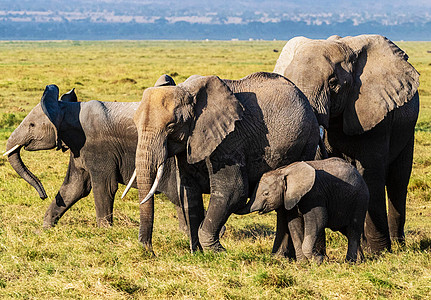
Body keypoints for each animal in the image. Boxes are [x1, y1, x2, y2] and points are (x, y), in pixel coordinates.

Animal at [2, 77, 196, 232]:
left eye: (32, 125)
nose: (43, 195)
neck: (68, 108)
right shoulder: (79, 149)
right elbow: (74, 187)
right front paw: (44, 230)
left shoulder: (98, 147)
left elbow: (104, 187)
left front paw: (104, 231)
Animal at [134, 71, 320, 252]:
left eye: (171, 126)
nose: (150, 251)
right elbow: (188, 191)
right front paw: (198, 253)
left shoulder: (230, 139)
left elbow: (233, 190)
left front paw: (216, 252)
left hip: (308, 140)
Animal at [241, 157, 370, 262]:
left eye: (266, 193)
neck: (284, 171)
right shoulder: (290, 198)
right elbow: (294, 225)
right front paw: (302, 263)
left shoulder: (314, 194)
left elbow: (318, 220)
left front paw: (318, 260)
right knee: (346, 231)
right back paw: (360, 261)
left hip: (360, 200)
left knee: (353, 230)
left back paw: (350, 262)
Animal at [276, 34, 420, 253]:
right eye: (289, 81)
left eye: (333, 82)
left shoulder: (377, 117)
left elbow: (371, 175)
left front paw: (378, 252)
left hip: (407, 128)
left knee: (398, 180)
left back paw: (396, 244)